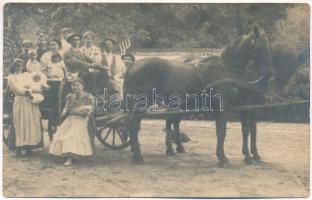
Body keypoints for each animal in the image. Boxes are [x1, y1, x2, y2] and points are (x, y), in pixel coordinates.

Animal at [123, 23, 272, 166]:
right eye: (261, 45)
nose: (268, 71)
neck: (225, 69)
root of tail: (132, 65)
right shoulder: (225, 108)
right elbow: (223, 131)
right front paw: (223, 158)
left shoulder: (243, 107)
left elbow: (245, 130)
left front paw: (247, 156)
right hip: (142, 104)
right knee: (136, 126)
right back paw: (139, 156)